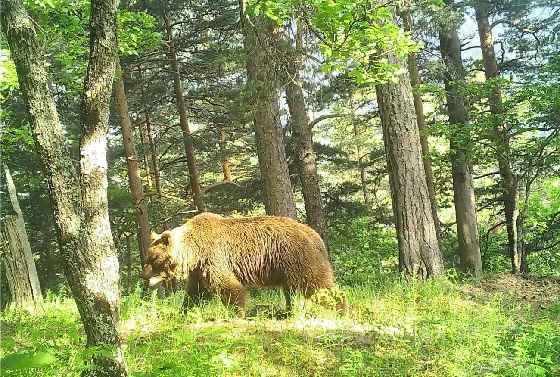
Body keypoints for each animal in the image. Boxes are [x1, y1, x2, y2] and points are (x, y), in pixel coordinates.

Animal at [143, 212, 336, 314]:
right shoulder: (199, 269)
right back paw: (288, 310)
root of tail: (315, 235)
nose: (143, 276)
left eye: (154, 259)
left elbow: (227, 285)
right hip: (287, 267)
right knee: (292, 290)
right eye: (148, 258)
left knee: (318, 284)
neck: (193, 251)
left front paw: (238, 311)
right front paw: (183, 311)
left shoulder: (214, 256)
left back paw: (337, 306)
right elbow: (195, 292)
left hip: (297, 258)